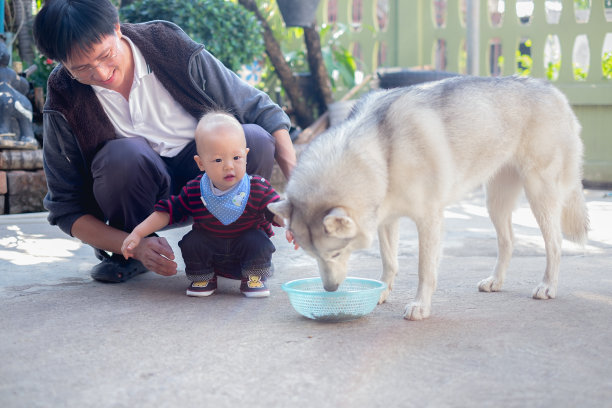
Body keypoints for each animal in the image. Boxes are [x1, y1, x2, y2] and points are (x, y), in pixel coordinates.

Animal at [270, 75, 592, 318]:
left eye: (336, 254)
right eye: (313, 255)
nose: (330, 290)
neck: (381, 149)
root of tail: (554, 91)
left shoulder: (428, 220)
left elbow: (424, 269)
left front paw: (420, 306)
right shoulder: (387, 220)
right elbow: (389, 262)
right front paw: (383, 291)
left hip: (539, 194)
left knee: (555, 243)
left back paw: (548, 285)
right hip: (495, 204)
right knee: (507, 242)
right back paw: (497, 281)